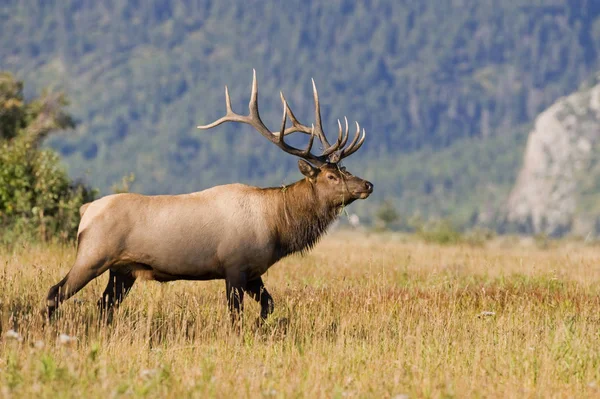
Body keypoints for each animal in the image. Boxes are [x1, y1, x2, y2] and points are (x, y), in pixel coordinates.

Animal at [47, 71, 372, 322]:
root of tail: (85, 210)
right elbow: (235, 316)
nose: (368, 184)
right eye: (331, 176)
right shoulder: (235, 267)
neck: (277, 226)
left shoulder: (253, 272)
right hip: (93, 255)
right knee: (55, 293)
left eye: (345, 168)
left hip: (122, 270)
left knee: (105, 305)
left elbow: (269, 305)